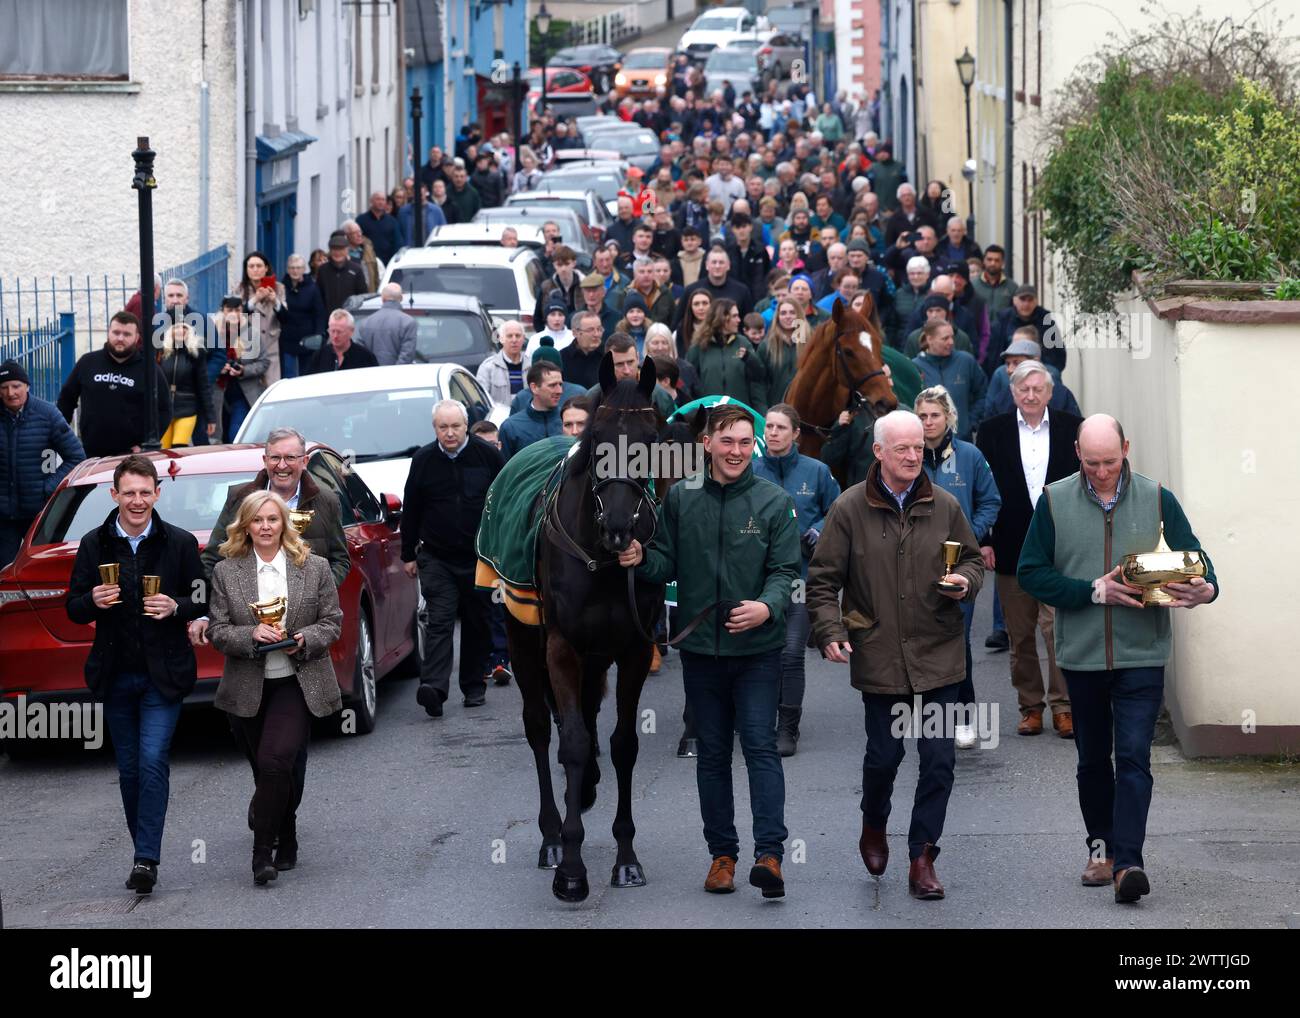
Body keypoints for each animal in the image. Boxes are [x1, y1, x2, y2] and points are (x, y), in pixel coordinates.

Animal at [504, 353, 665, 904]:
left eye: (652, 438)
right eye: (597, 439)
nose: (619, 526)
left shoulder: (634, 648)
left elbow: (623, 744)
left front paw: (627, 857)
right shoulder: (561, 647)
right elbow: (570, 742)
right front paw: (571, 868)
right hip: (521, 637)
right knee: (538, 726)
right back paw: (551, 837)